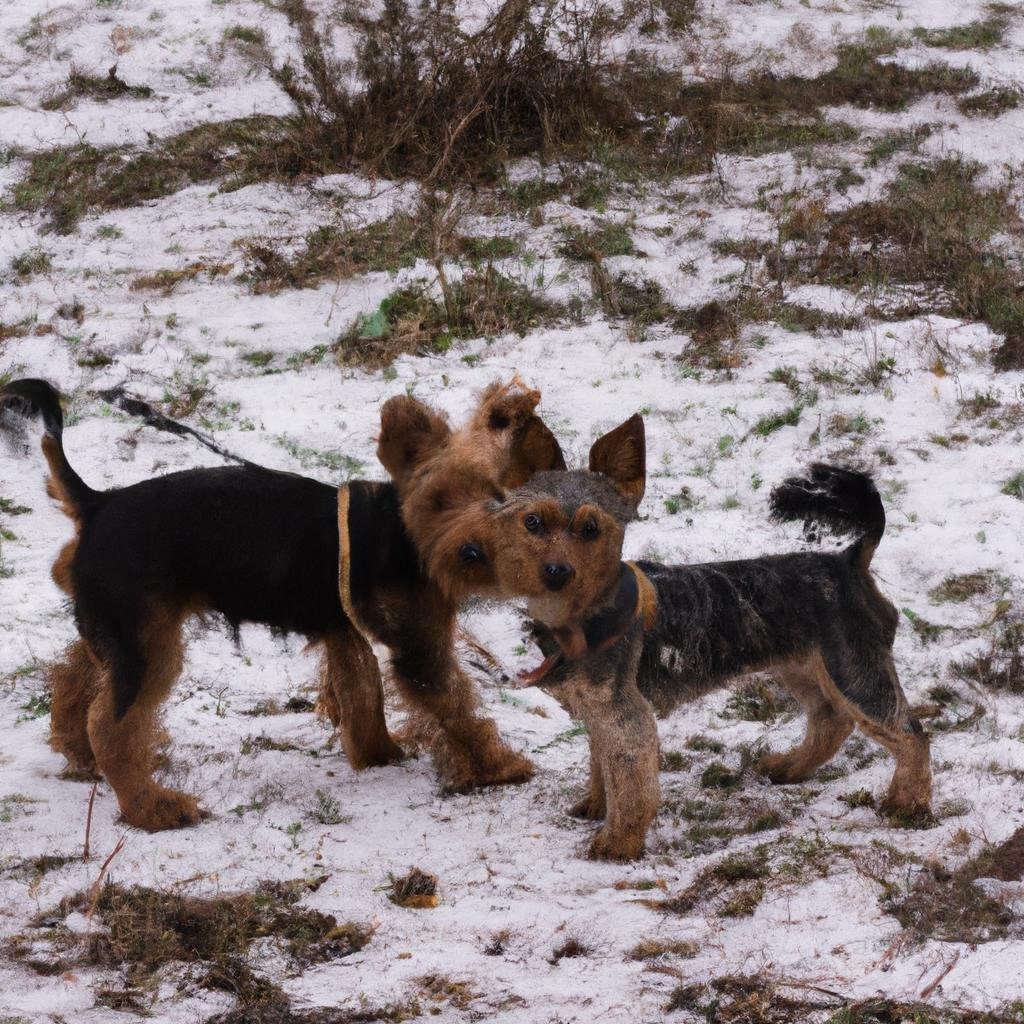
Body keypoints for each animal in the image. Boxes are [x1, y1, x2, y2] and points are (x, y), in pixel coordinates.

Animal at [0, 376, 561, 831]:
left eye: (500, 497)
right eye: (441, 500)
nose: (470, 551)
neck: (404, 534)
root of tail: (97, 503)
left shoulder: (345, 633)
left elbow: (363, 698)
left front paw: (378, 754)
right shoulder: (420, 649)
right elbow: (456, 708)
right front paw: (496, 768)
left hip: (124, 632)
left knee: (75, 679)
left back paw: (77, 751)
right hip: (148, 647)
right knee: (111, 726)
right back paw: (154, 809)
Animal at [387, 411, 933, 860]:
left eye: (591, 529)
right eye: (532, 522)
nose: (556, 572)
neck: (585, 617)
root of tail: (850, 560)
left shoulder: (627, 717)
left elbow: (632, 785)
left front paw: (617, 843)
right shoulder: (598, 714)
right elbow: (603, 768)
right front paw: (594, 805)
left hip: (853, 669)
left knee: (911, 736)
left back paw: (908, 804)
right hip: (802, 667)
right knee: (830, 720)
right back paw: (791, 768)